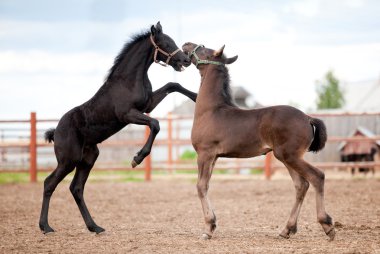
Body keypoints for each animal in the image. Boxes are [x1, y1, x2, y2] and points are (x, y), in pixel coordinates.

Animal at [40, 22, 197, 234]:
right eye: (166, 43)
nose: (186, 60)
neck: (128, 80)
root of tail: (56, 132)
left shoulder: (147, 106)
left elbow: (173, 85)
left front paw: (196, 96)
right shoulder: (127, 114)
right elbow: (155, 124)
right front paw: (137, 159)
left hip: (88, 158)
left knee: (76, 188)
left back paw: (95, 227)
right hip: (68, 160)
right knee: (49, 183)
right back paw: (46, 226)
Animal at [183, 42, 334, 240]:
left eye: (204, 49)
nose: (186, 45)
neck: (211, 110)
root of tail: (308, 118)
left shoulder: (205, 154)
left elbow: (201, 186)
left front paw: (209, 228)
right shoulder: (214, 157)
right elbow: (206, 185)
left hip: (289, 156)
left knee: (317, 177)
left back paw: (327, 225)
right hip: (287, 158)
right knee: (301, 185)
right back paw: (287, 230)